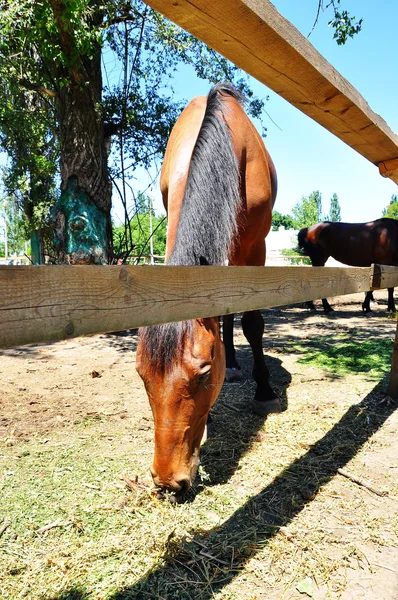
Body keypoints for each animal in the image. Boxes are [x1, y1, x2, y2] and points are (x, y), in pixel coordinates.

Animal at [137, 83, 280, 496]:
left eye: (202, 375)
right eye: (141, 376)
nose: (168, 480)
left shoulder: (257, 249)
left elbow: (253, 323)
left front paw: (264, 391)